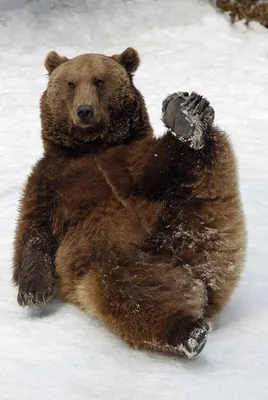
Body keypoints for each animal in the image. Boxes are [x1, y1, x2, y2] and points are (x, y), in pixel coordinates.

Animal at [13, 48, 247, 358]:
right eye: (71, 83)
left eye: (99, 80)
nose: (84, 110)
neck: (91, 147)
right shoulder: (49, 180)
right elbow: (33, 229)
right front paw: (32, 292)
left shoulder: (128, 161)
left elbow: (150, 170)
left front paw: (187, 119)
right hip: (114, 257)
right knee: (127, 292)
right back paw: (187, 331)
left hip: (191, 217)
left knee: (199, 163)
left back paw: (190, 116)